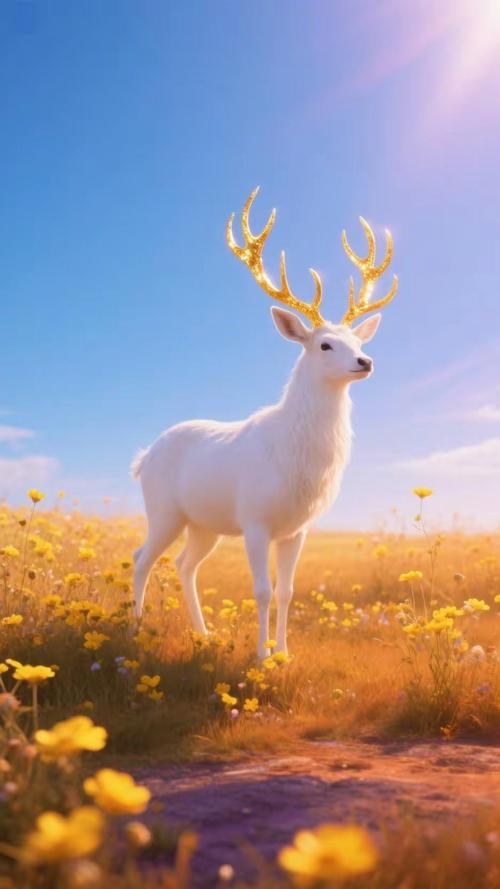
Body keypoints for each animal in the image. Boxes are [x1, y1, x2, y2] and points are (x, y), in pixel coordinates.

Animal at [131, 188, 398, 658]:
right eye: (325, 345)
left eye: (357, 340)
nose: (365, 362)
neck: (296, 457)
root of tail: (144, 457)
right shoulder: (255, 521)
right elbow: (261, 590)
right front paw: (260, 655)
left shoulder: (297, 530)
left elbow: (288, 591)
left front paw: (284, 653)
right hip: (163, 509)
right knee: (142, 558)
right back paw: (133, 627)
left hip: (204, 524)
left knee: (184, 565)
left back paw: (203, 634)